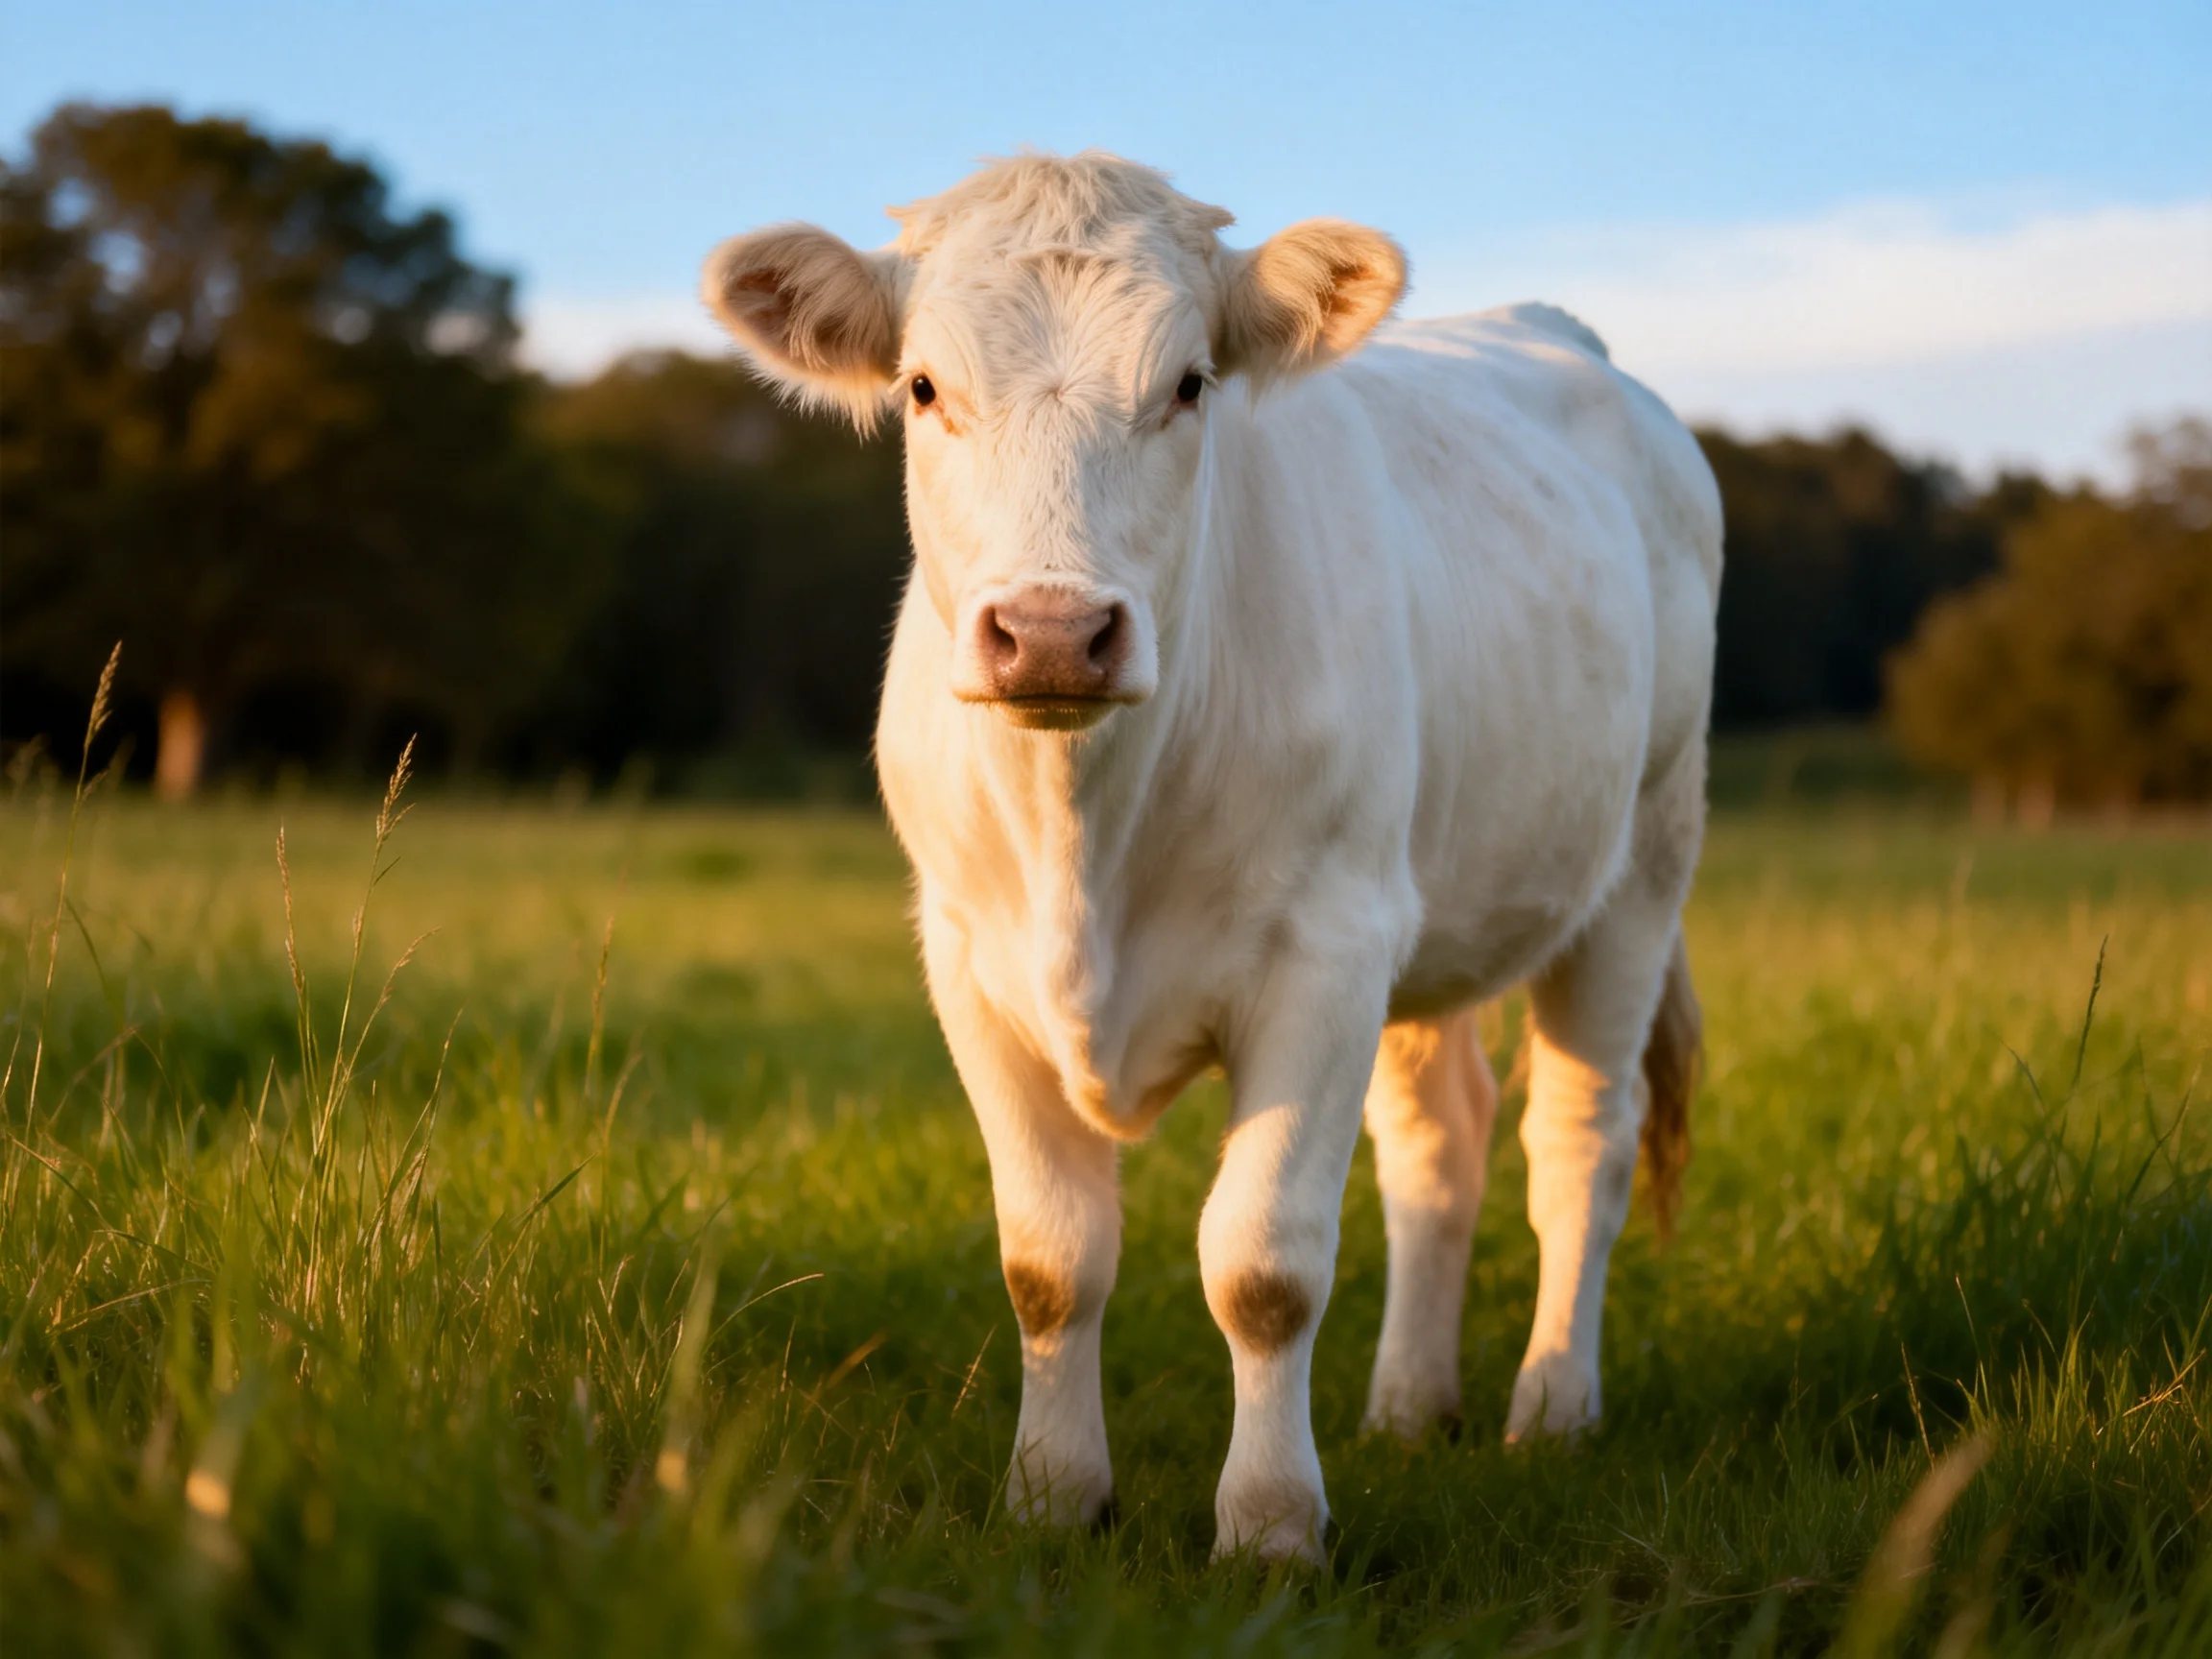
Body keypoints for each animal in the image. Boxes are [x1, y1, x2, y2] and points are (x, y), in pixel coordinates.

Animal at [701, 152, 1721, 1564]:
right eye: (922, 388)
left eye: (1189, 384)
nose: (1054, 632)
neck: (1088, 838)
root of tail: (1560, 331)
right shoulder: (969, 963)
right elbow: (1049, 1258)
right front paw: (1051, 1499)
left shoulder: (1324, 956)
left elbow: (1264, 1263)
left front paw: (1272, 1526)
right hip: (1429, 905)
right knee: (1439, 1141)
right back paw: (1410, 1407)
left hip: (1641, 863)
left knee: (1582, 1137)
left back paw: (1553, 1405)